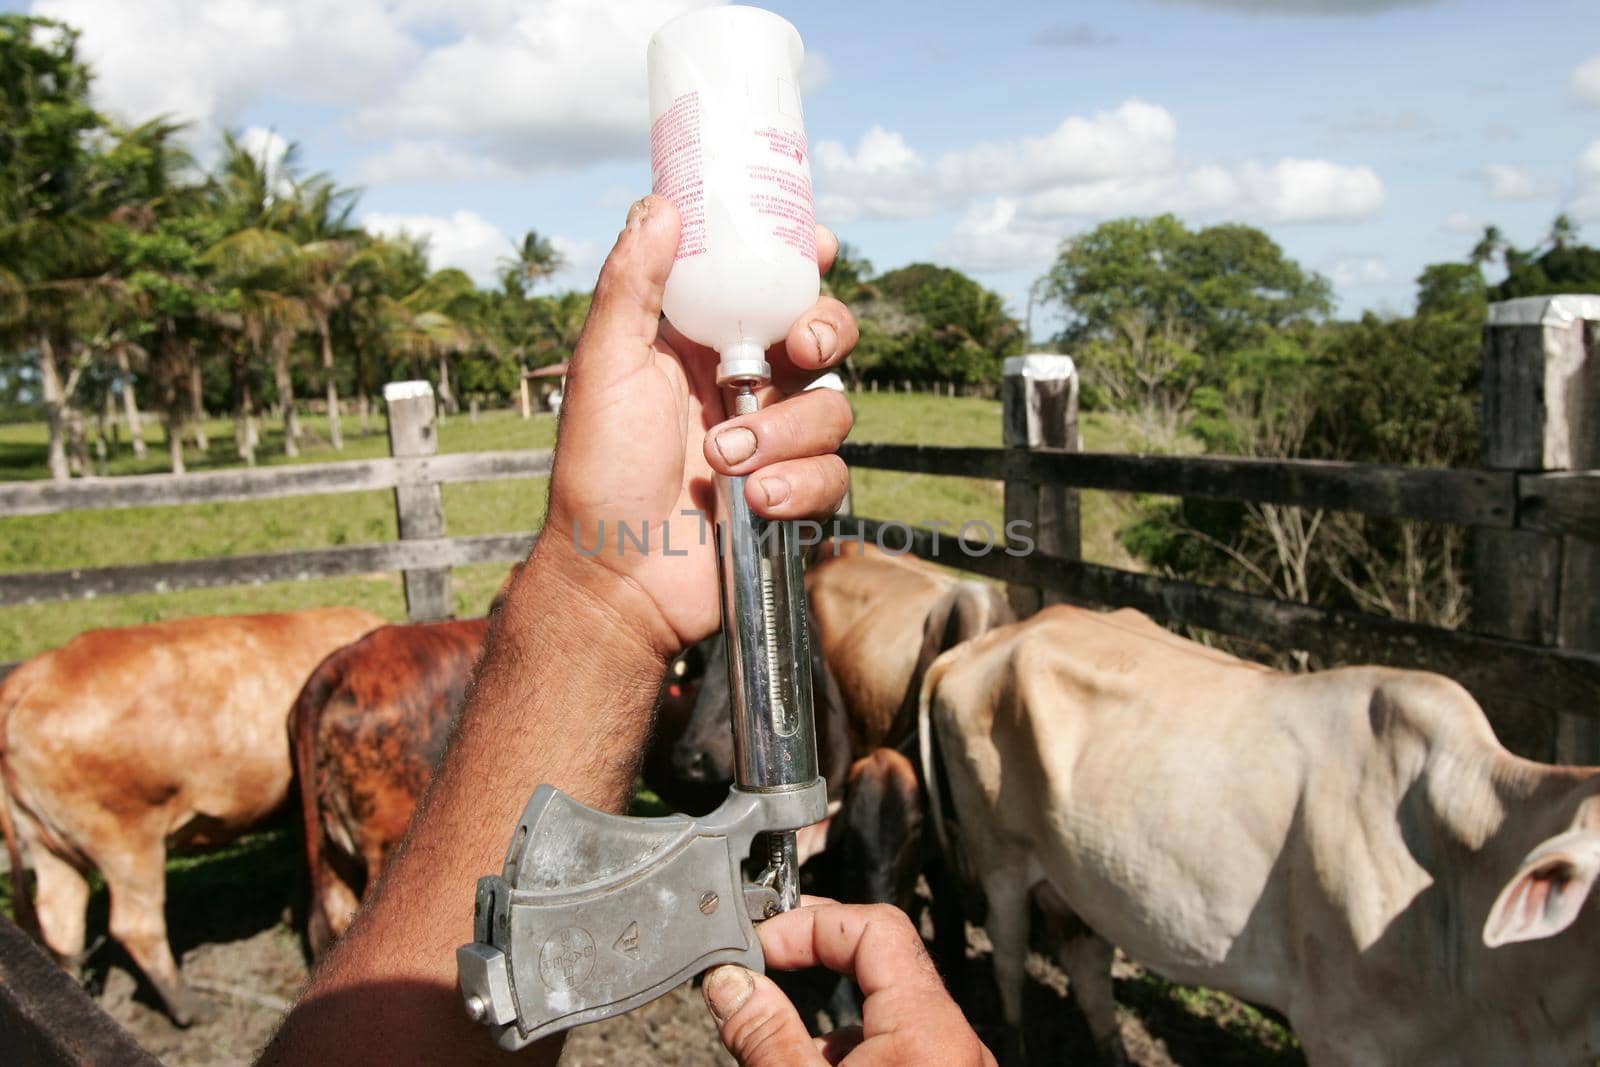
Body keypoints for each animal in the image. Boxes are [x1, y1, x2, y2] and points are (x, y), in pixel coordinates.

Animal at [0, 604, 380, 1023]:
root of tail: (37, 672)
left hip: (46, 841)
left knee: (60, 924)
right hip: (124, 838)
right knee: (136, 926)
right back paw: (190, 1008)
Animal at [921, 604, 1600, 1062]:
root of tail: (995, 638)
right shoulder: (1339, 1036)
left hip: (1080, 881)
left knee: (1087, 969)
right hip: (1001, 862)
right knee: (1009, 964)